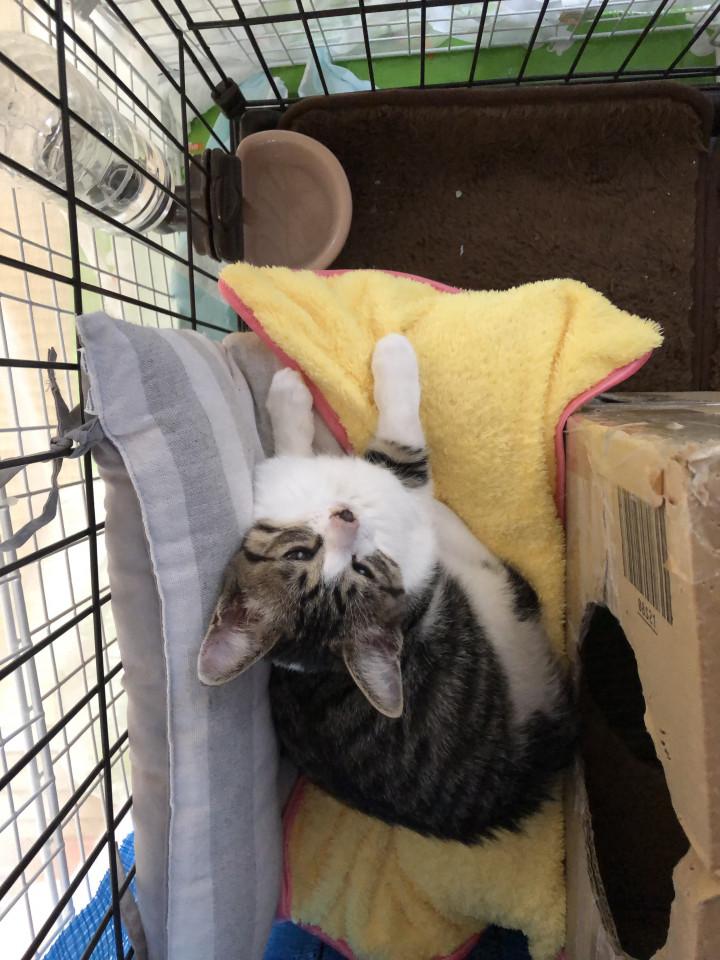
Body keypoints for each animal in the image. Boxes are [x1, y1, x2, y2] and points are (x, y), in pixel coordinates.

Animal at [198, 334, 576, 844]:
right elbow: (401, 450)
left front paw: (292, 399)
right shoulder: (399, 487)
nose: (346, 518)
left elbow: (299, 452)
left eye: (360, 568)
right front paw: (388, 357)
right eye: (301, 555)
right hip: (503, 614)